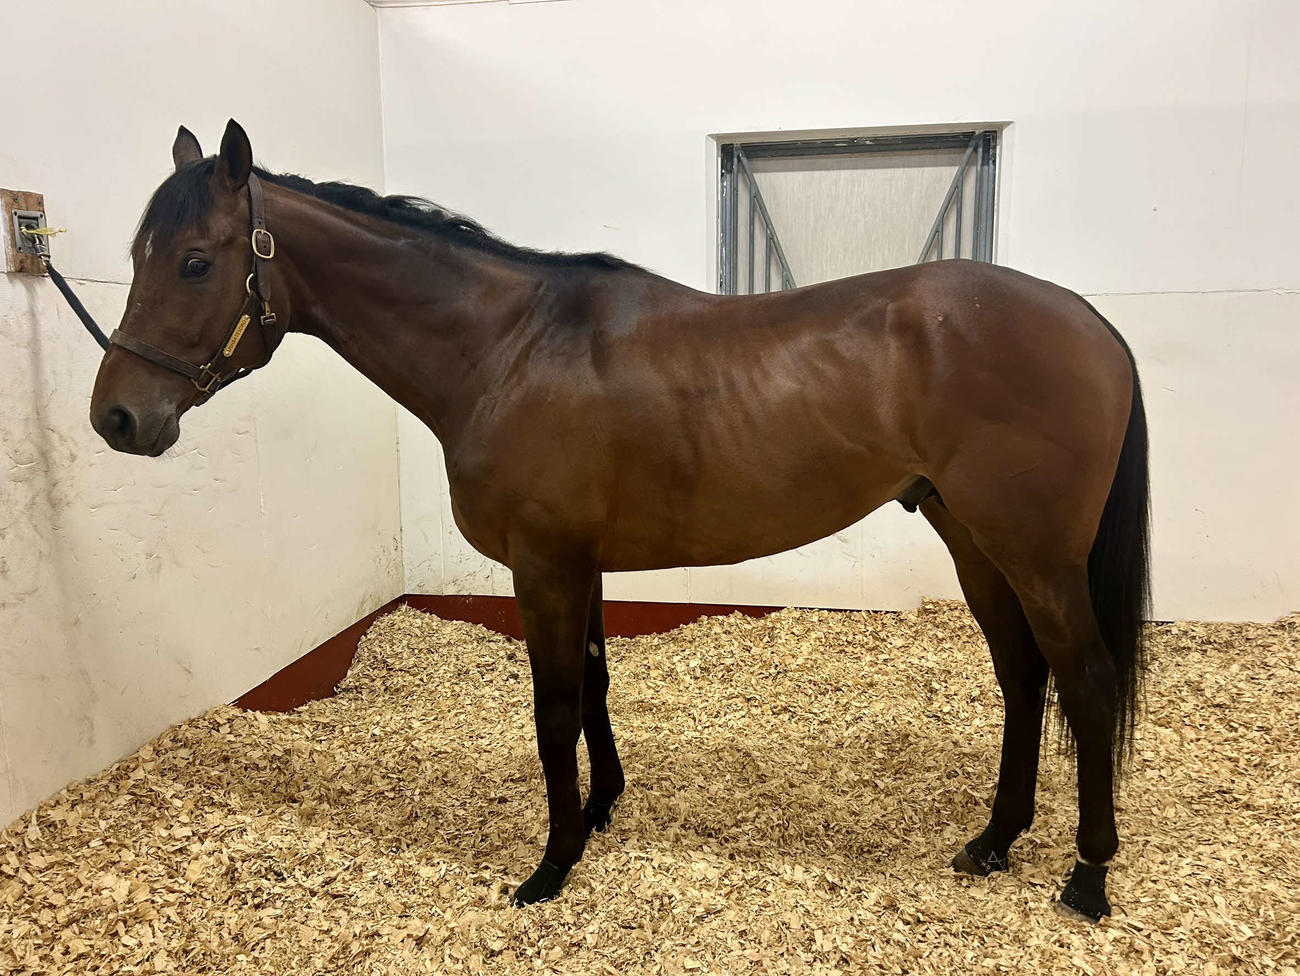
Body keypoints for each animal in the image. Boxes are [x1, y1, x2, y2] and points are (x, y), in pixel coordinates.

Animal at [89, 120, 1149, 922]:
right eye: (139, 256)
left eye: (194, 262)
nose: (118, 418)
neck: (507, 350)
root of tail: (1089, 322)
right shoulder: (582, 564)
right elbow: (597, 686)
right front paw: (602, 810)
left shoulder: (543, 564)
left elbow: (556, 705)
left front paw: (551, 865)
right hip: (975, 541)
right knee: (1024, 677)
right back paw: (994, 840)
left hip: (1034, 553)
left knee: (1087, 682)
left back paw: (1087, 874)